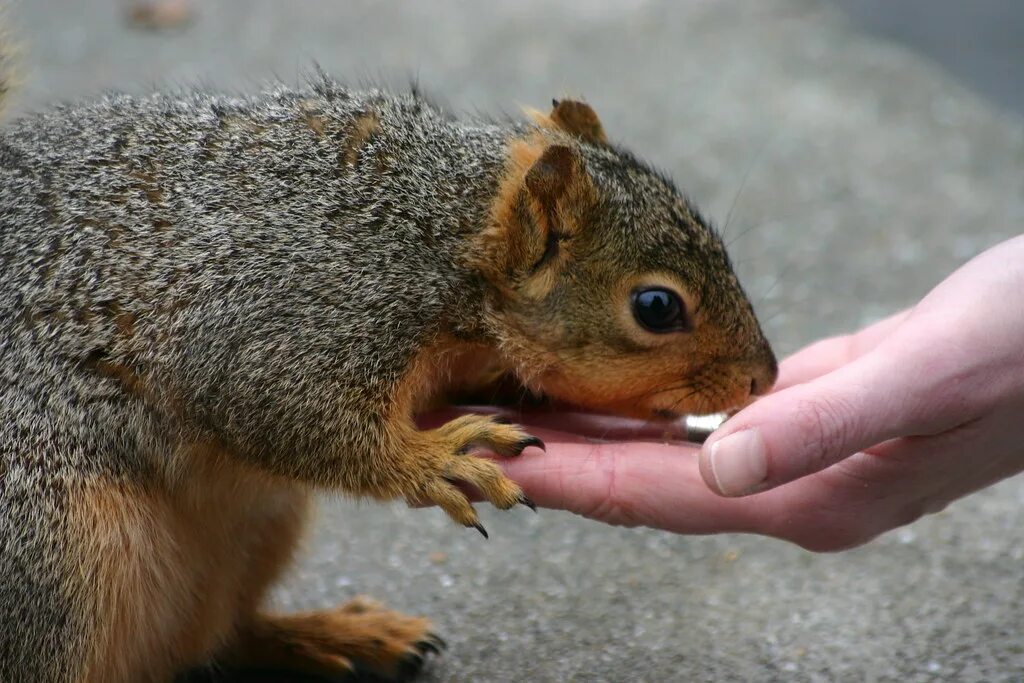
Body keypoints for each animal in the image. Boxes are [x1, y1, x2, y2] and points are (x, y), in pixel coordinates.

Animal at [0, 70, 774, 683]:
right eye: (656, 307)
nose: (763, 379)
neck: (444, 235)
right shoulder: (292, 316)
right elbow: (284, 410)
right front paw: (433, 460)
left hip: (255, 529)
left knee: (217, 638)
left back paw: (337, 634)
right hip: (57, 552)